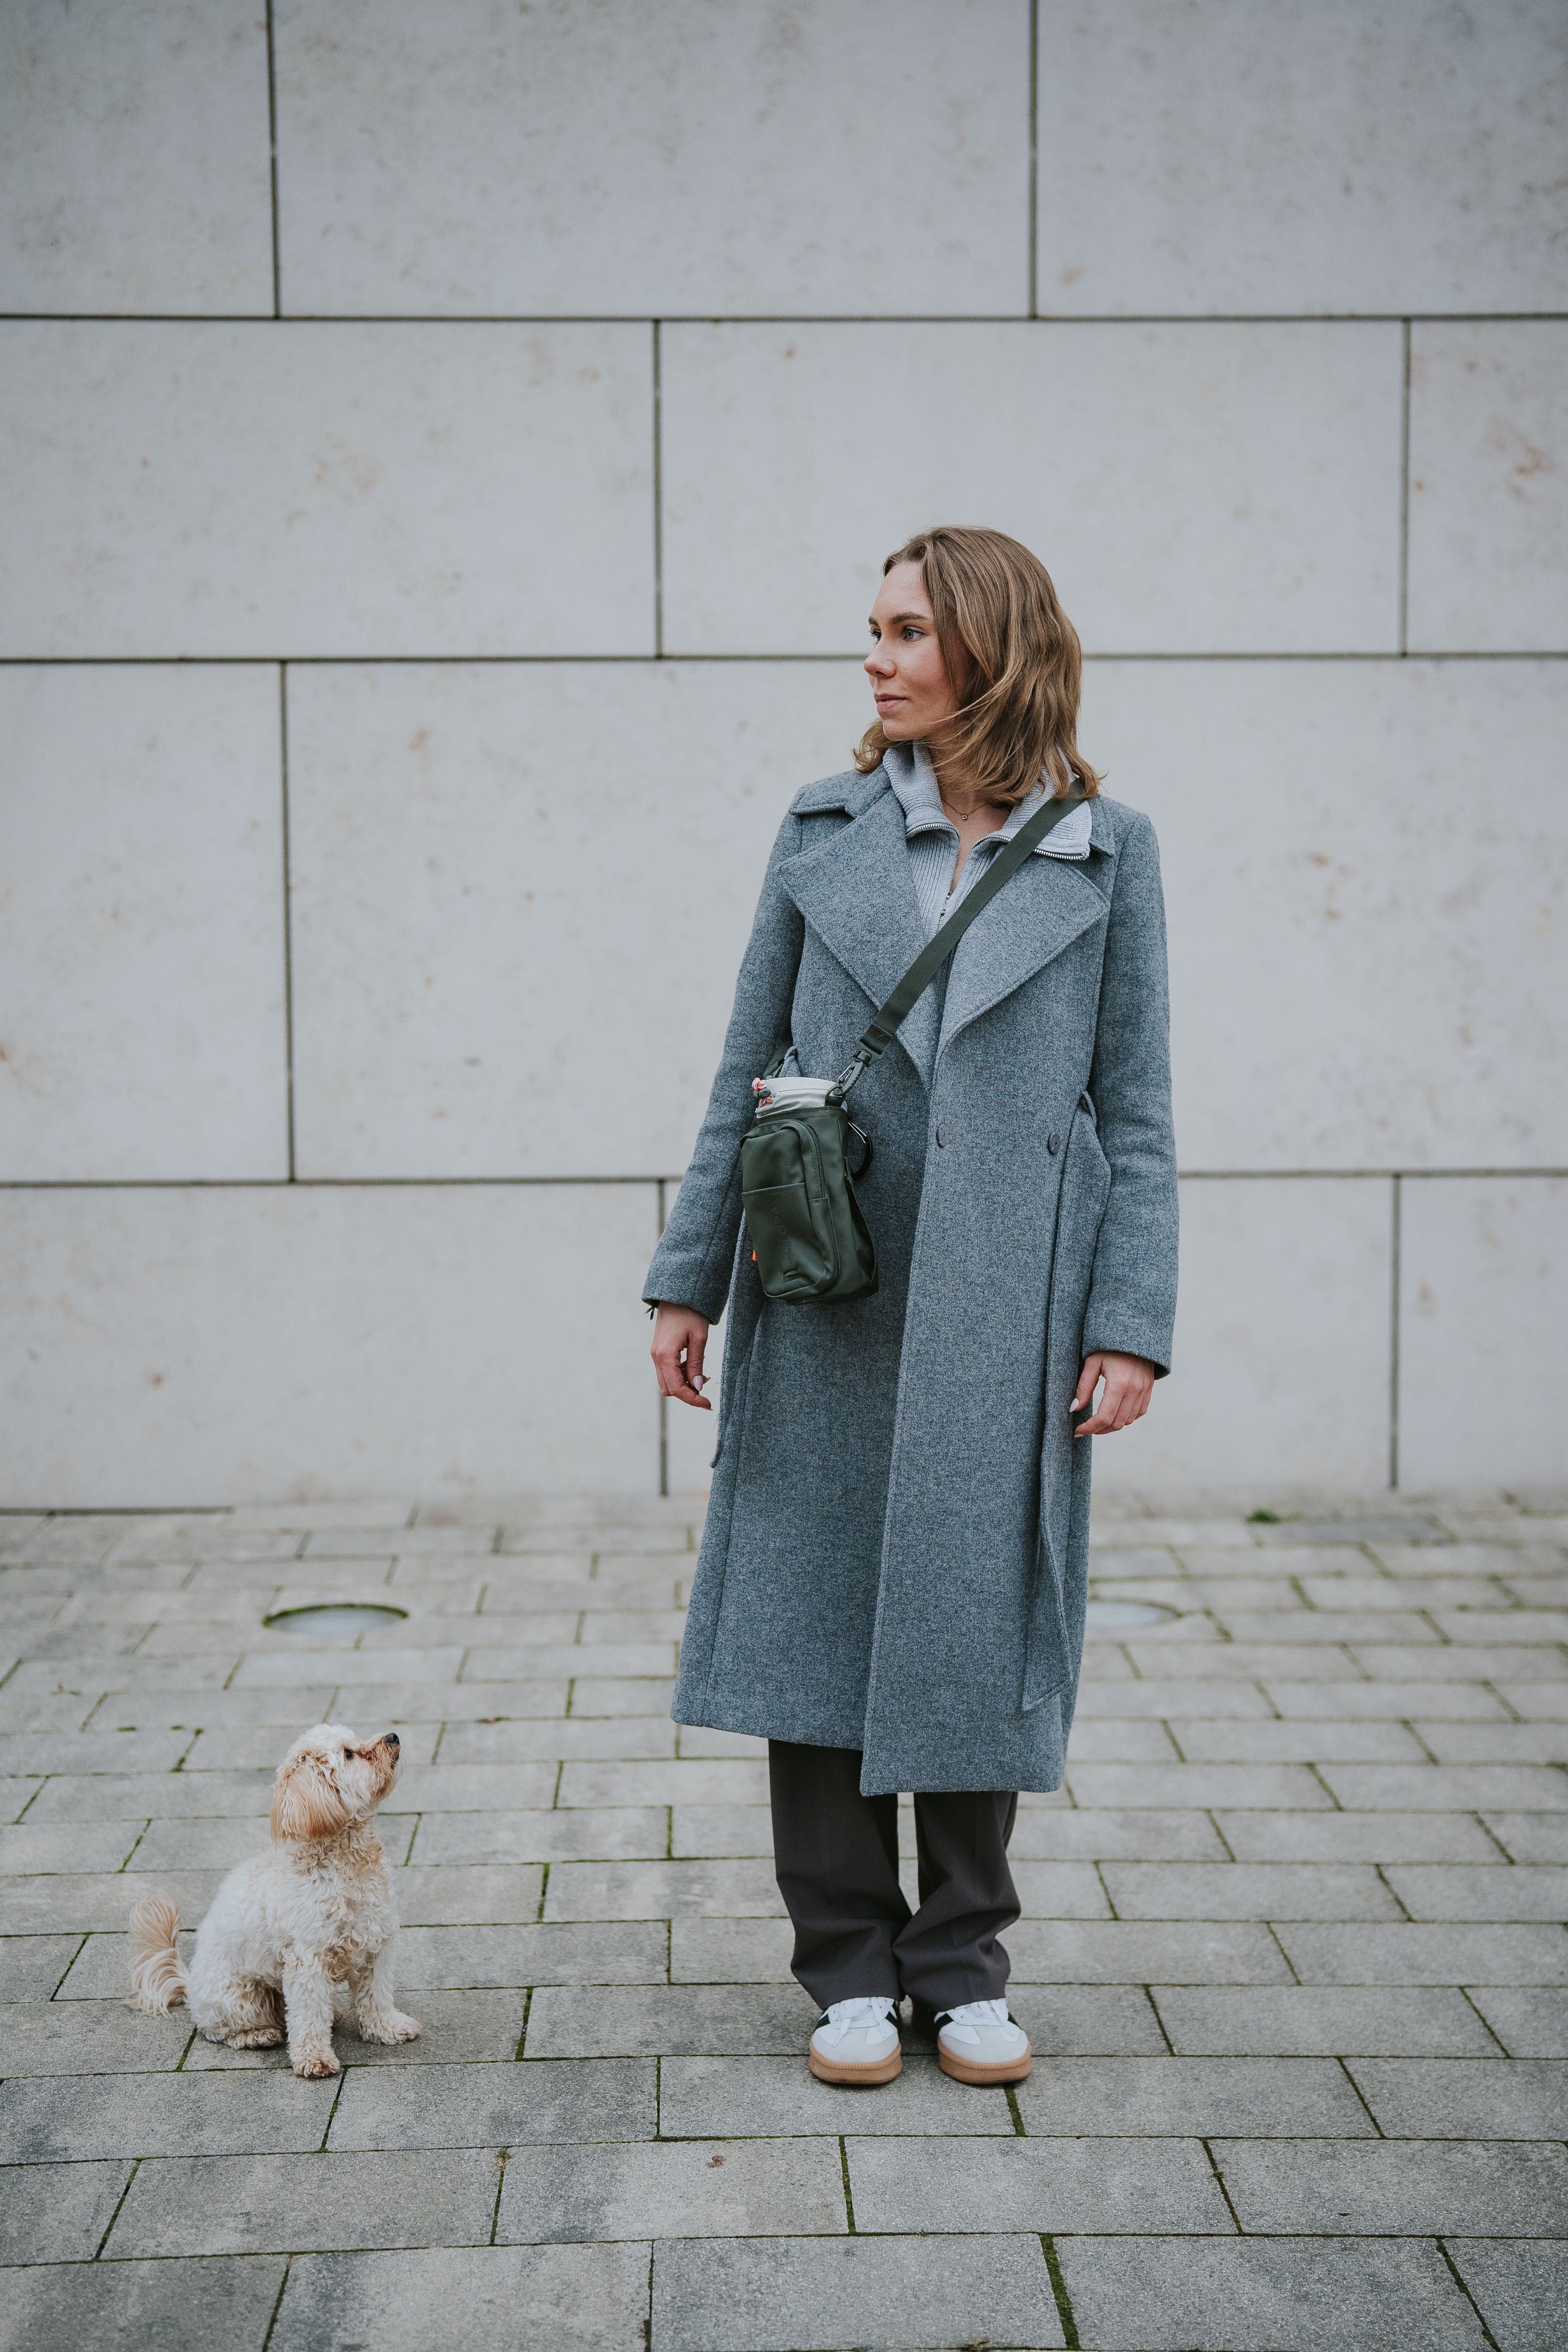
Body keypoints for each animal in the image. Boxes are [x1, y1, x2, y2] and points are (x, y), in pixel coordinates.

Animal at [128, 1731, 421, 2079]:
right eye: (349, 1754)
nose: (393, 1736)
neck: (346, 1862)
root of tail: (191, 1987)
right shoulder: (308, 1960)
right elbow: (308, 2016)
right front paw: (315, 2060)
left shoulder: (376, 1947)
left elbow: (376, 1997)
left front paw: (387, 2029)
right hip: (243, 1996)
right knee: (221, 2029)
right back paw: (258, 2035)